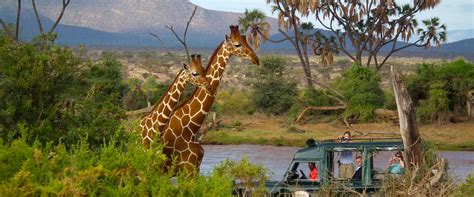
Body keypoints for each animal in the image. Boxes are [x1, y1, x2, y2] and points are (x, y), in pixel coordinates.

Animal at [162, 25, 260, 174]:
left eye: (246, 40)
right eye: (237, 44)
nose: (256, 58)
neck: (189, 129)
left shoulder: (195, 168)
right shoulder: (187, 168)